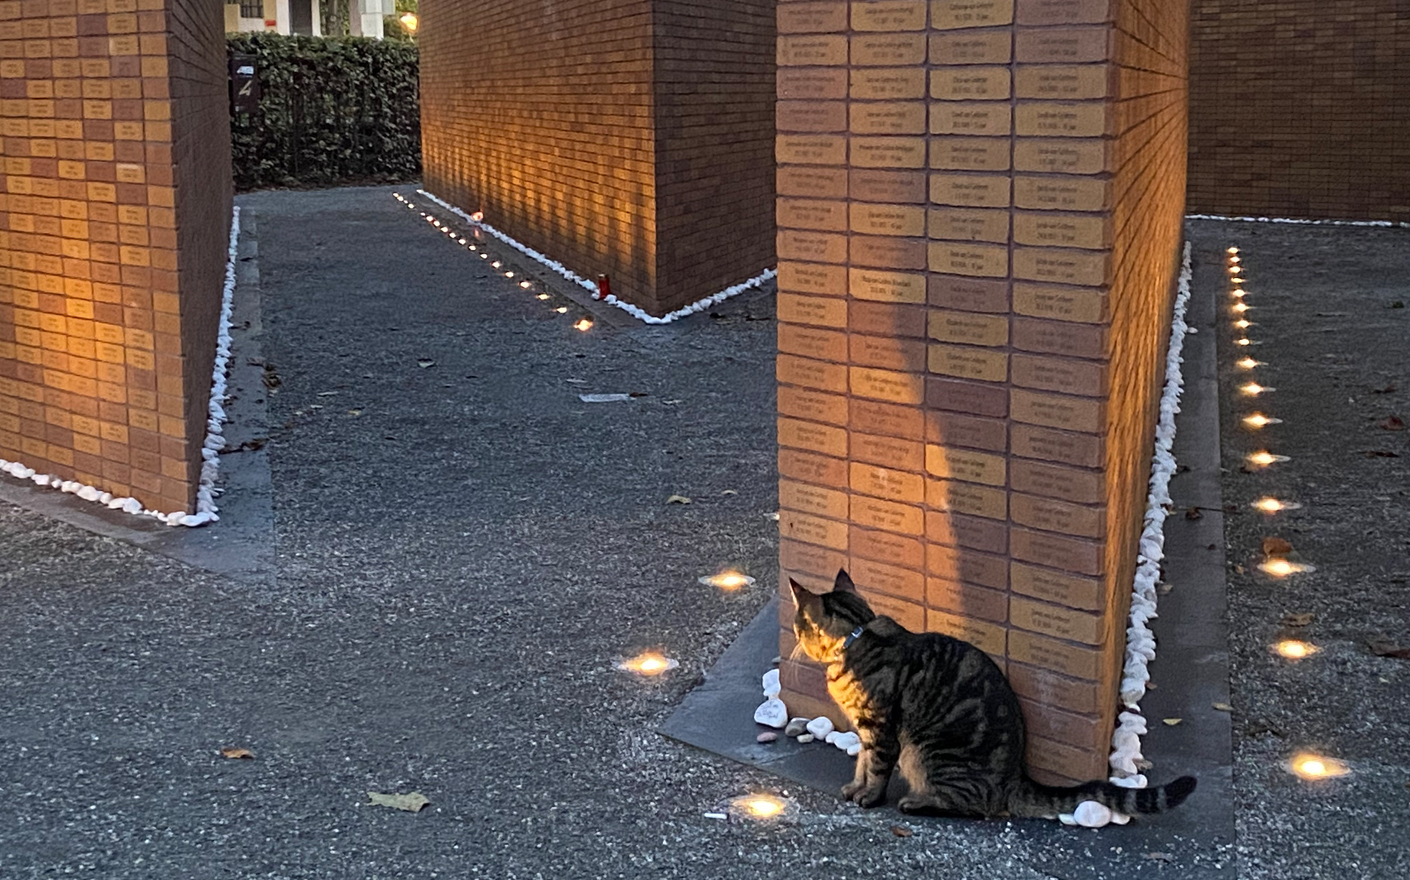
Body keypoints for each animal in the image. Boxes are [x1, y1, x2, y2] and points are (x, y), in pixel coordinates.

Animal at [789, 569, 1195, 817]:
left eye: (797, 625)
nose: (793, 634)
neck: (857, 637)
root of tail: (1015, 776)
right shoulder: (866, 729)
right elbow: (861, 762)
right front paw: (853, 786)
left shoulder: (881, 729)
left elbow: (874, 767)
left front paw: (869, 796)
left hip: (926, 753)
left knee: (974, 804)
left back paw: (917, 802)